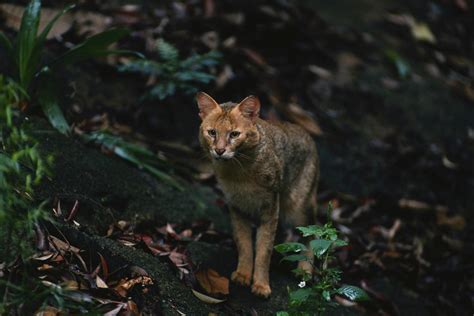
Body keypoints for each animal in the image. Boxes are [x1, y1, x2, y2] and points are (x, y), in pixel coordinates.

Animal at [196, 92, 318, 298]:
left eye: (234, 134)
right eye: (212, 132)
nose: (219, 150)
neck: (238, 173)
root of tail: (309, 137)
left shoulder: (270, 209)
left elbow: (263, 251)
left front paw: (261, 285)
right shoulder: (236, 207)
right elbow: (244, 244)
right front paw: (244, 274)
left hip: (296, 209)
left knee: (313, 232)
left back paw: (305, 269)